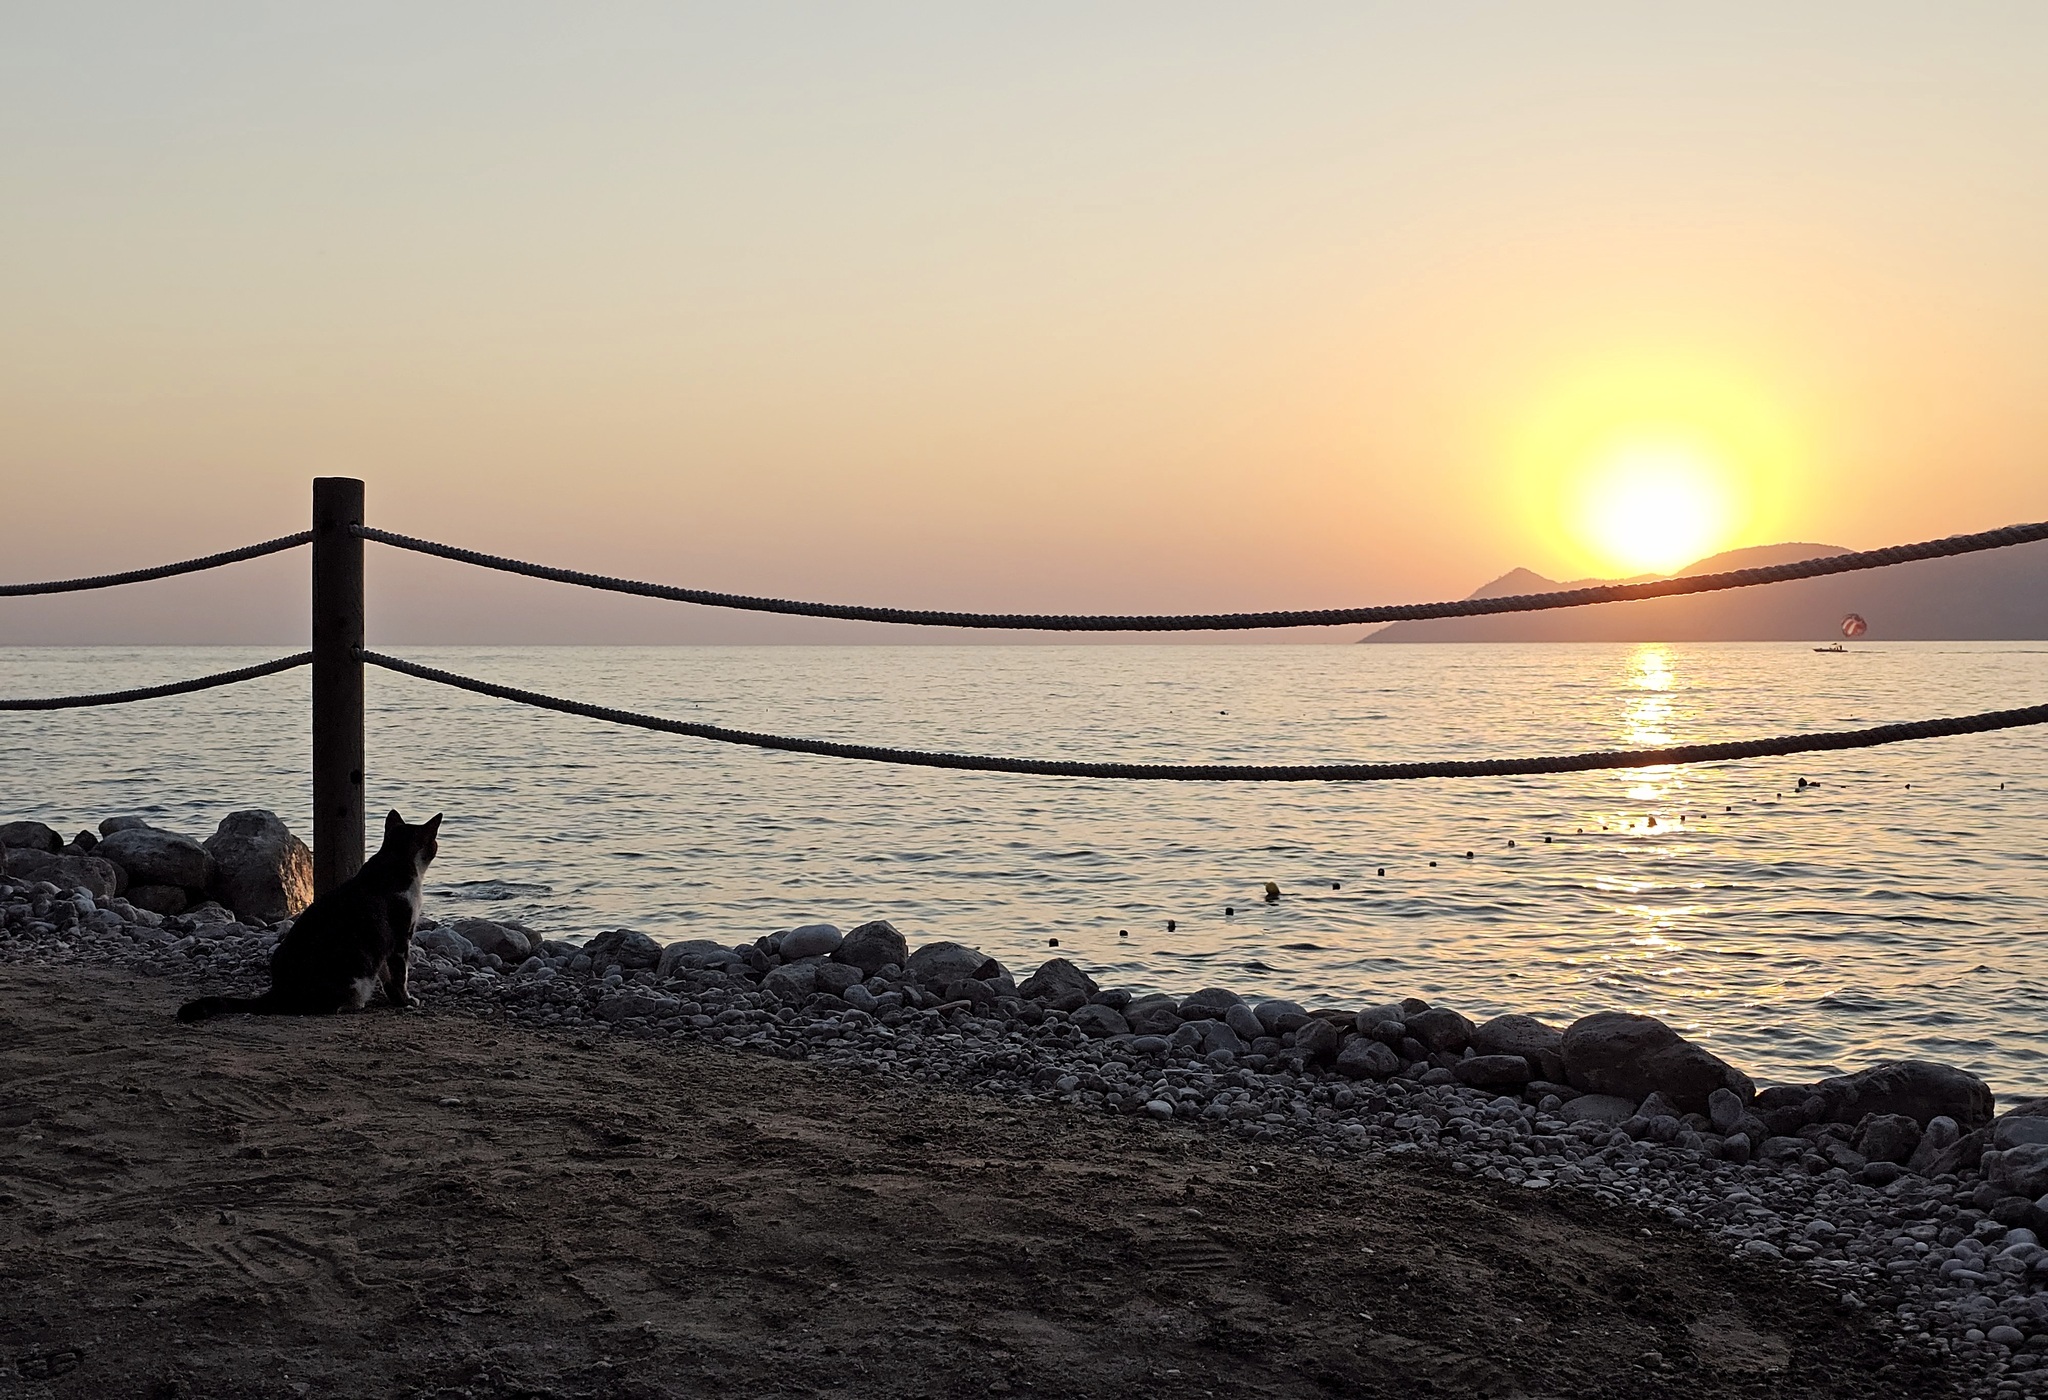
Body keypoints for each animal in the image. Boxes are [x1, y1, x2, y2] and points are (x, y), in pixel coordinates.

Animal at [179, 802, 444, 1023]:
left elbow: (388, 976)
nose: (436, 846)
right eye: (433, 842)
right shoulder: (400, 936)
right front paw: (406, 1000)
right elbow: (399, 975)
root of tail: (279, 991)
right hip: (353, 977)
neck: (396, 861)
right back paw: (352, 1005)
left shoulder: (384, 947)